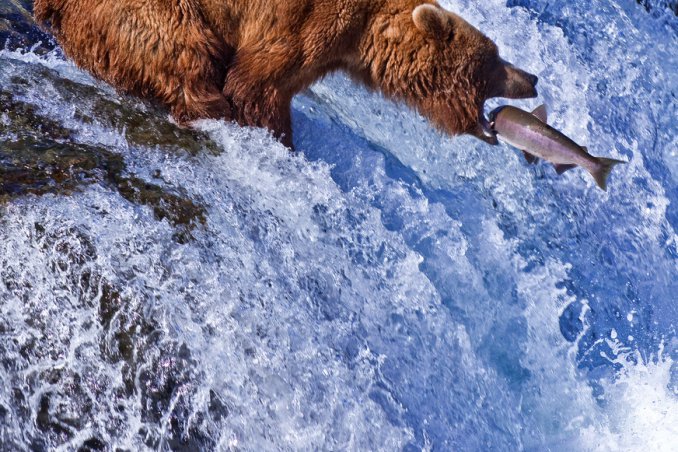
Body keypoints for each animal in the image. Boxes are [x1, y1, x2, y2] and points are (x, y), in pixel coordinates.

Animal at [34, 0, 538, 148]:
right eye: (494, 59)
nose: (532, 77)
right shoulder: (300, 22)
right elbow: (257, 84)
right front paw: (275, 137)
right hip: (145, 11)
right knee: (184, 52)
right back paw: (206, 106)